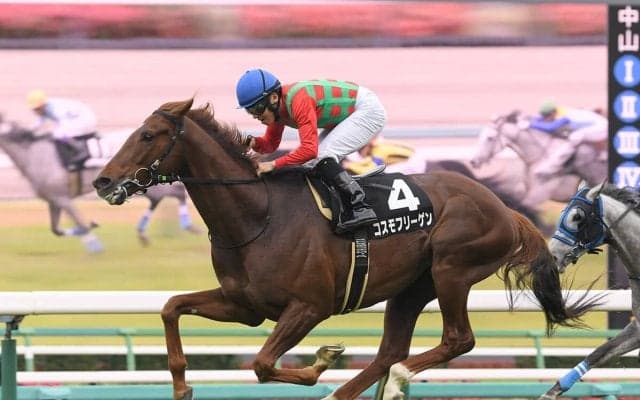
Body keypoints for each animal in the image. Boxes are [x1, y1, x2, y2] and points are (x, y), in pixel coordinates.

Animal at [0, 117, 198, 251]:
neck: (35, 154)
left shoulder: (62, 197)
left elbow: (78, 222)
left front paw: (95, 246)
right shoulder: (54, 199)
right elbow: (57, 229)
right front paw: (92, 230)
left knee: (173, 193)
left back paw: (185, 225)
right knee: (166, 196)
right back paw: (147, 233)